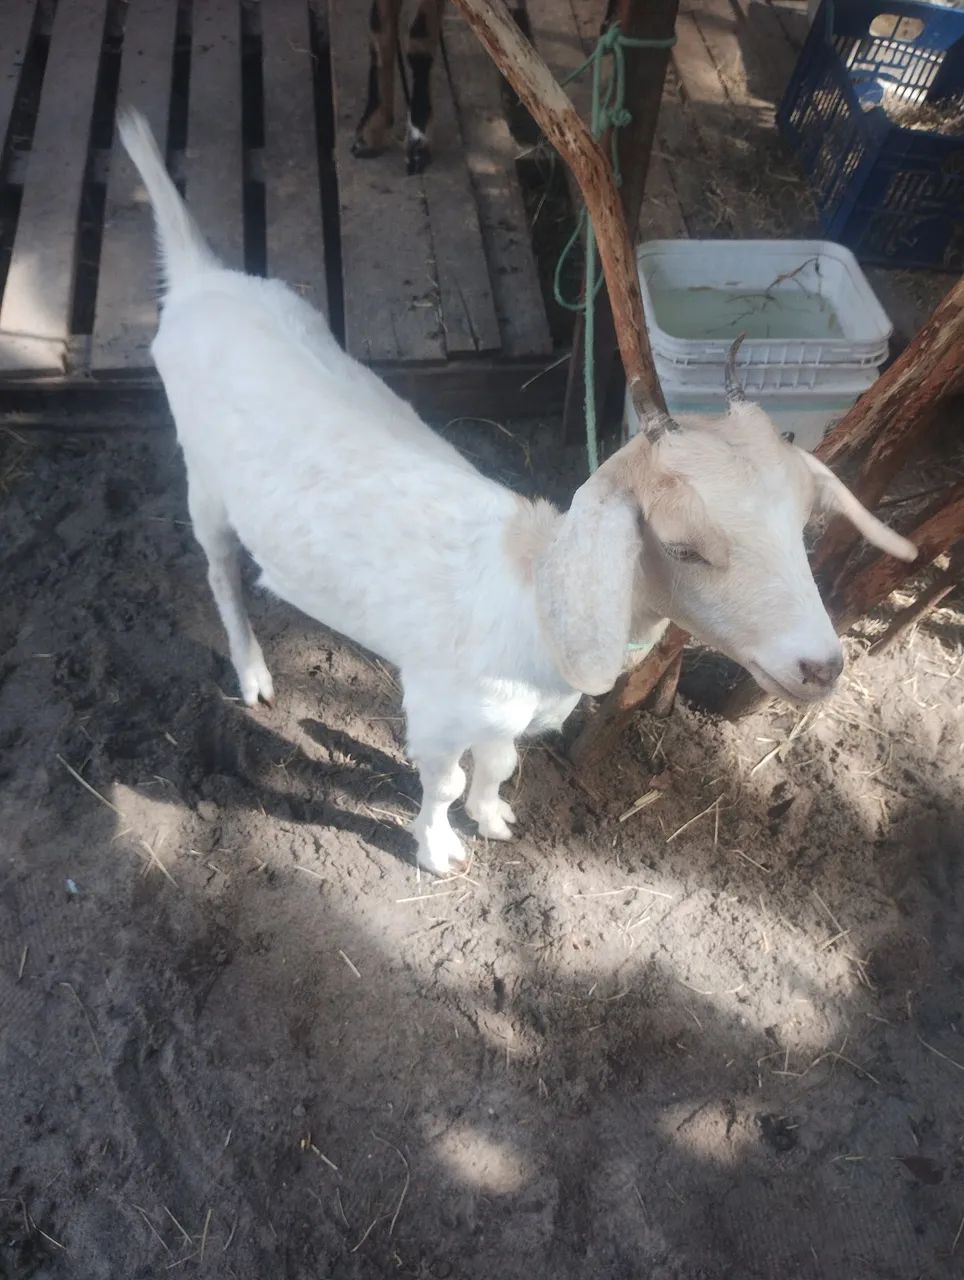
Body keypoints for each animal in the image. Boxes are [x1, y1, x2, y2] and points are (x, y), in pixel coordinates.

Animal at [118, 108, 915, 877]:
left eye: (802, 524)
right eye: (684, 547)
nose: (823, 667)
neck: (534, 594)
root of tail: (199, 281)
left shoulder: (506, 717)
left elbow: (499, 762)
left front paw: (494, 816)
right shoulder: (436, 709)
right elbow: (440, 781)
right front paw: (439, 850)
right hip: (204, 481)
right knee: (220, 571)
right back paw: (253, 673)